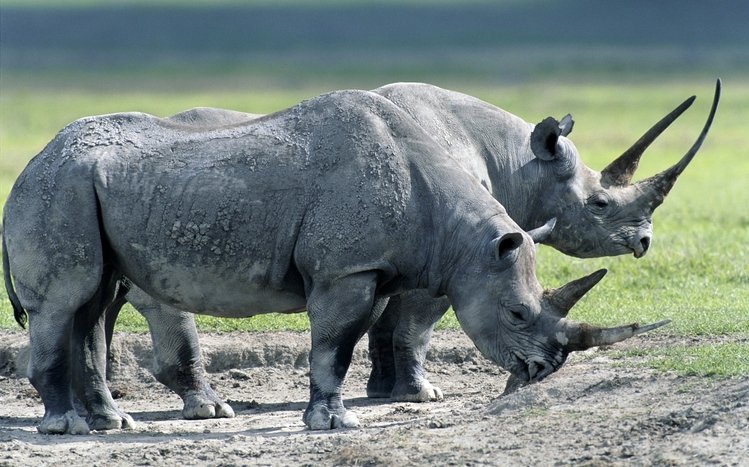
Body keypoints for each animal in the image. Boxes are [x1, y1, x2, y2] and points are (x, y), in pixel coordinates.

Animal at [2, 88, 670, 434]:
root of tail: (31, 162)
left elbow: (354, 340)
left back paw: (112, 424)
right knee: (66, 302)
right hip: (59, 187)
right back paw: (67, 428)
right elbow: (335, 343)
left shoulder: (376, 266)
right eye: (516, 315)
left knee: (93, 303)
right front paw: (334, 423)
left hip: (88, 187)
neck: (461, 236)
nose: (544, 369)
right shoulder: (345, 270)